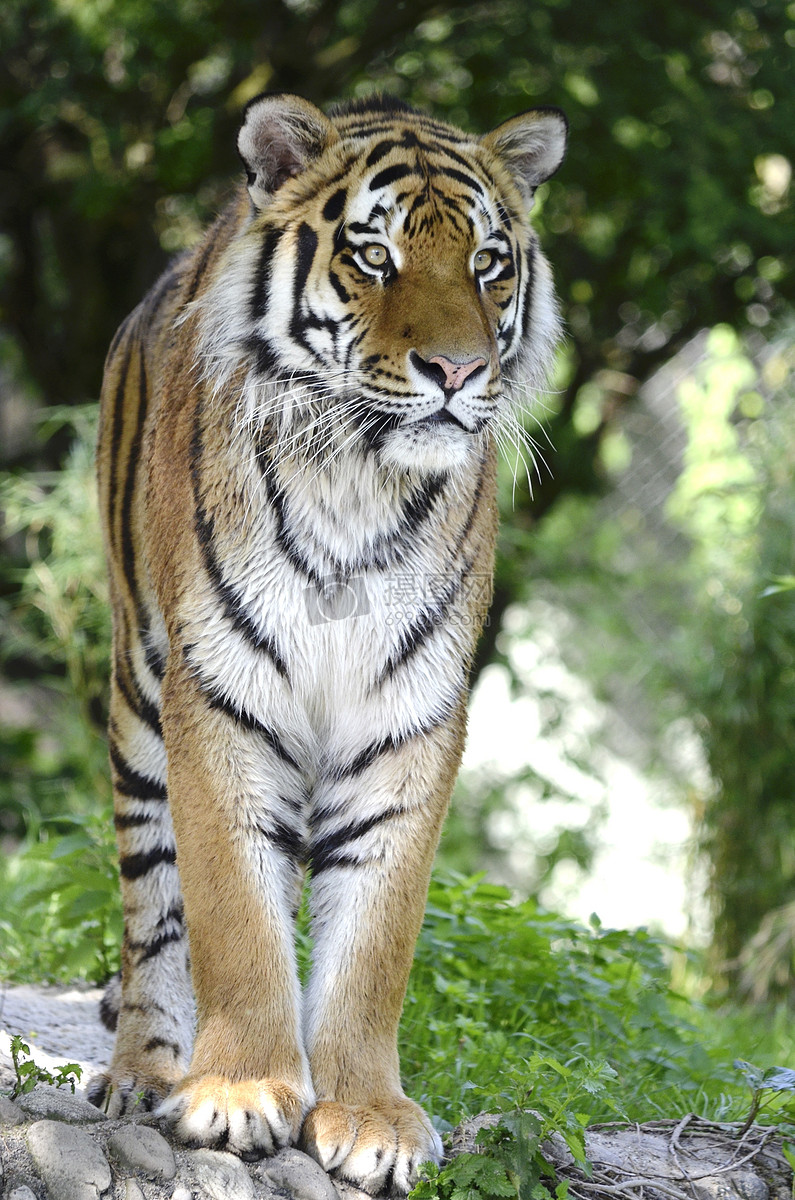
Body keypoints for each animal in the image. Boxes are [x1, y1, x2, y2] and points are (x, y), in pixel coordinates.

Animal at [93, 96, 566, 1200]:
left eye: (487, 263)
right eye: (374, 255)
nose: (458, 372)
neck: (357, 477)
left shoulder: (411, 715)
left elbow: (375, 937)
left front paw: (368, 1117)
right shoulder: (218, 693)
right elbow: (233, 913)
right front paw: (237, 1093)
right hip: (137, 695)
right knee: (153, 913)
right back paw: (145, 1074)